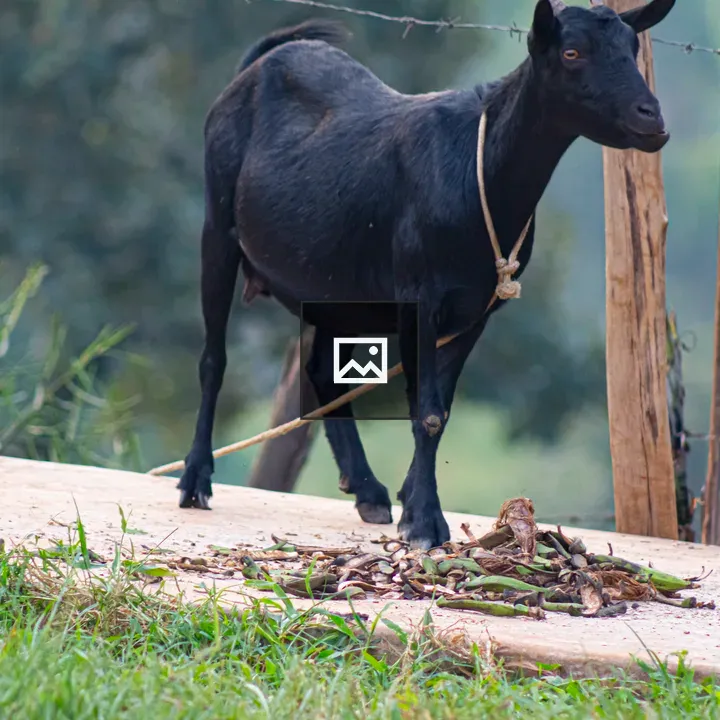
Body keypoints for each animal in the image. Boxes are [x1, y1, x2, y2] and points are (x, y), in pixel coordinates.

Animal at [177, 0, 676, 549]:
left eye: (632, 47)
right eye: (571, 52)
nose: (652, 119)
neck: (479, 172)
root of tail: (261, 62)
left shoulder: (476, 309)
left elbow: (441, 411)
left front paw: (411, 502)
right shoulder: (420, 294)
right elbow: (430, 412)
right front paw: (424, 522)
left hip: (333, 283)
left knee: (318, 370)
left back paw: (368, 489)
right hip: (217, 225)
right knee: (213, 359)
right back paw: (195, 480)